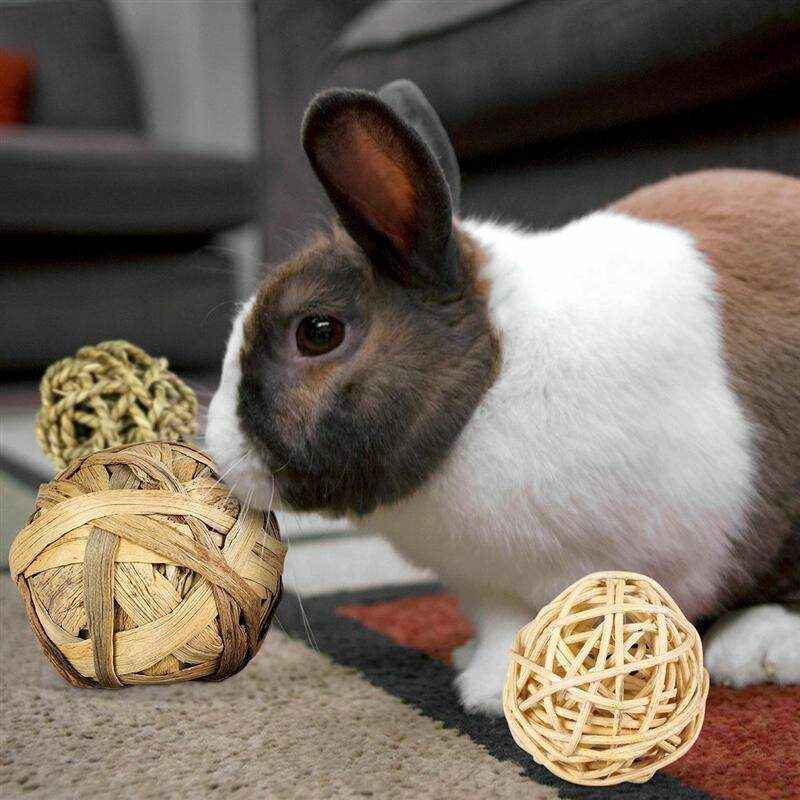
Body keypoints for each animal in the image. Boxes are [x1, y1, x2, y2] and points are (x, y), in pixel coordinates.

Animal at [206, 80, 800, 715]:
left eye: (318, 332)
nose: (217, 448)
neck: (490, 382)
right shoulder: (490, 586)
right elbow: (503, 626)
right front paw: (486, 677)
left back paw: (755, 650)